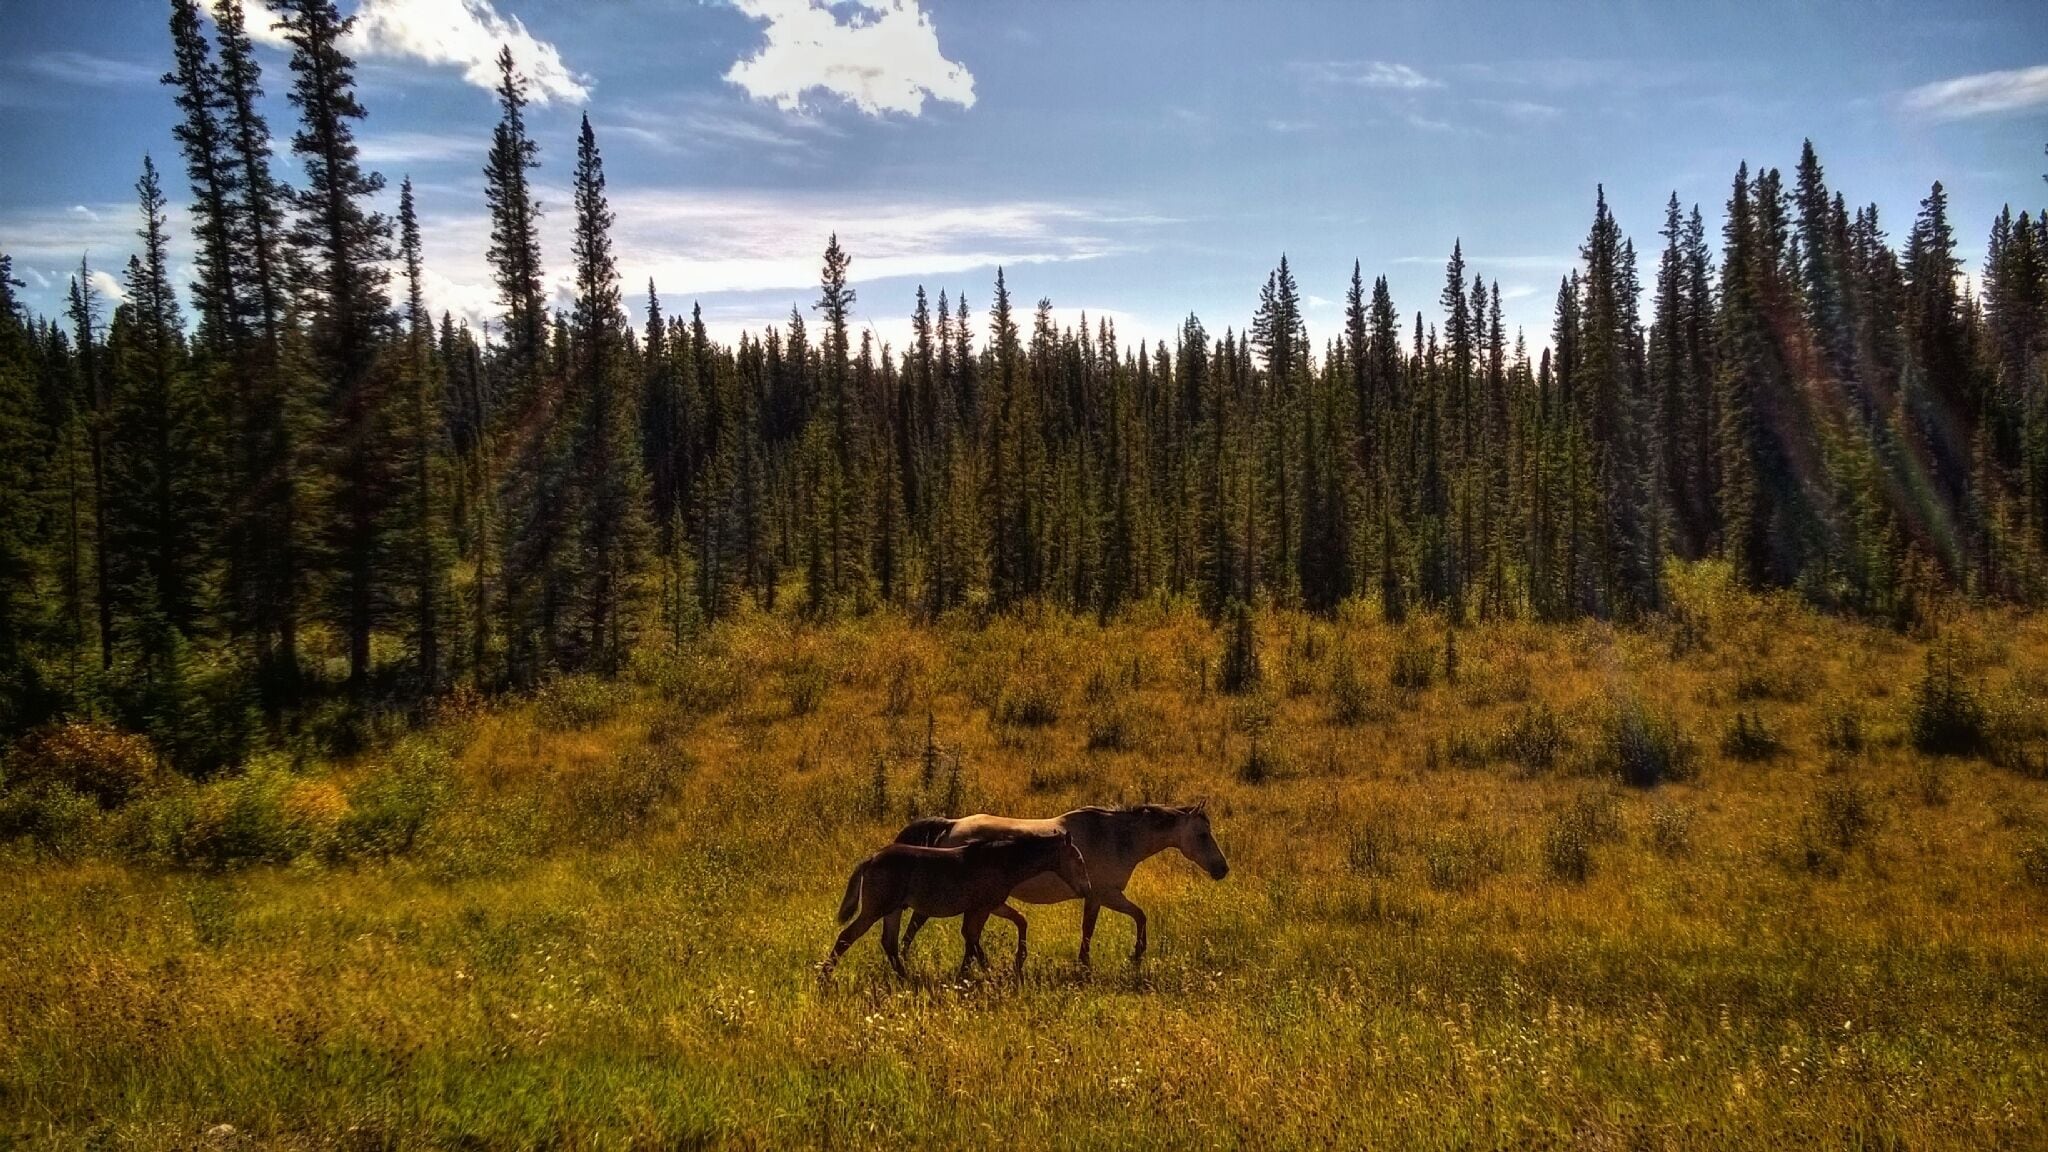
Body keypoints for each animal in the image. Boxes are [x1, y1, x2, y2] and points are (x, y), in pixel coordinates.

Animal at [822, 830, 1092, 979]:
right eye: (1078, 860)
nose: (1087, 889)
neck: (1003, 861)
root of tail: (872, 858)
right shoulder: (982, 908)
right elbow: (972, 939)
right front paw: (986, 971)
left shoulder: (991, 906)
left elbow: (1014, 923)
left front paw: (1013, 963)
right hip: (874, 910)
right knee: (846, 937)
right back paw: (824, 977)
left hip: (893, 911)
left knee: (889, 943)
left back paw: (904, 977)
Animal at [893, 803, 1228, 965]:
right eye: (1202, 835)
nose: (1222, 869)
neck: (1116, 837)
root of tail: (951, 824)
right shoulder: (1101, 895)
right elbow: (1090, 929)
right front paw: (1087, 965)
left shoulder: (1109, 895)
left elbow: (1139, 916)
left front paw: (1135, 956)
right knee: (919, 922)